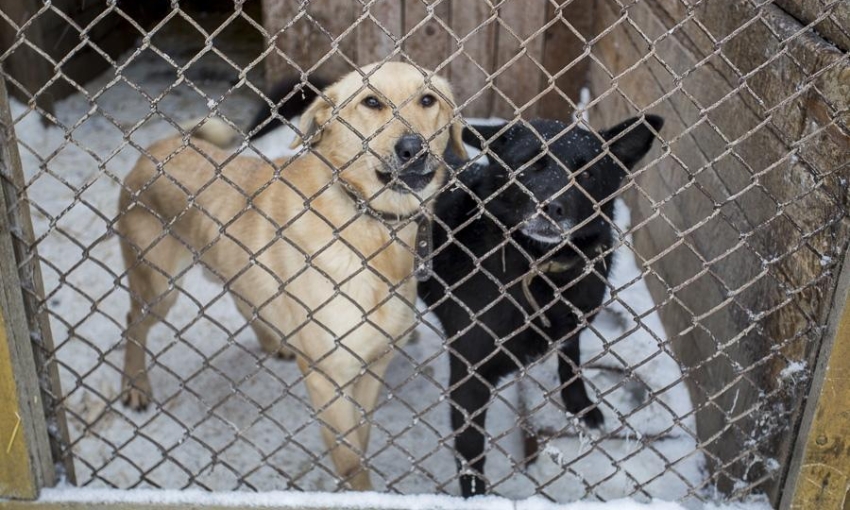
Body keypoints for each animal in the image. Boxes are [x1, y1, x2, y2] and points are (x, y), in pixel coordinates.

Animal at [116, 63, 464, 490]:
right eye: (371, 102)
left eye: (428, 99)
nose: (414, 148)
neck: (372, 224)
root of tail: (157, 148)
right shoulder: (328, 376)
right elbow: (351, 460)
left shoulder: (372, 367)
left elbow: (361, 442)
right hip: (159, 287)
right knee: (133, 322)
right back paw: (135, 385)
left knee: (240, 297)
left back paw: (272, 341)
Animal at [418, 113, 664, 496]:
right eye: (528, 164)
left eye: (587, 173)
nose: (552, 207)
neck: (541, 269)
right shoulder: (470, 373)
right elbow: (471, 447)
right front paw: (476, 496)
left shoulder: (575, 320)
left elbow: (571, 361)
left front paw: (580, 406)